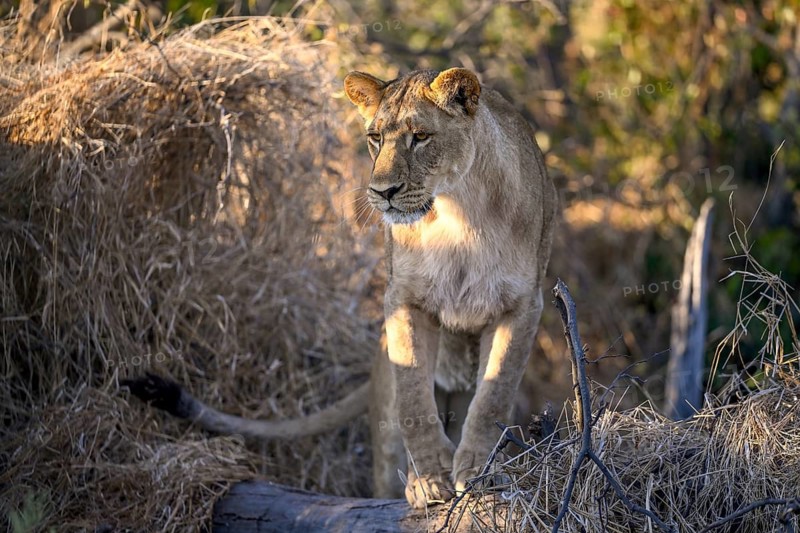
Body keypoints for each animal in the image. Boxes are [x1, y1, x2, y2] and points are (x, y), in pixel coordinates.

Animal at [125, 67, 556, 509]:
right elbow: (414, 397)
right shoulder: (403, 299)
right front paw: (429, 479)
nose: (383, 192)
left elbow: (493, 396)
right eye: (375, 137)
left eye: (421, 136)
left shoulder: (524, 305)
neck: (458, 214)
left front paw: (479, 473)